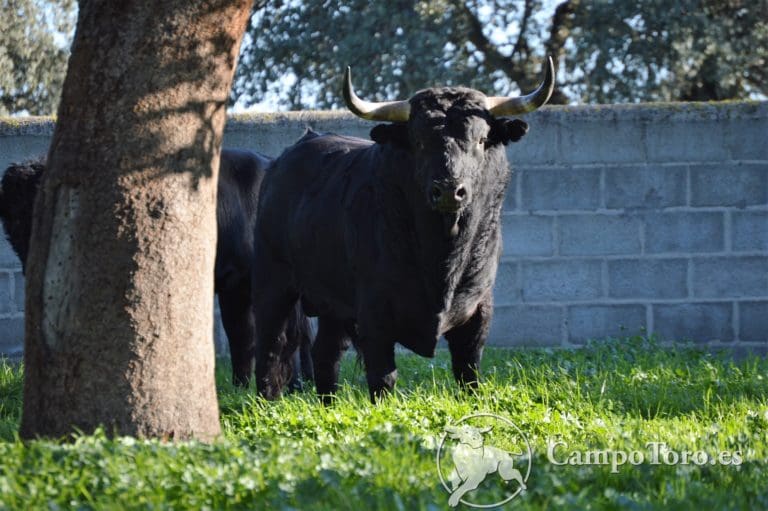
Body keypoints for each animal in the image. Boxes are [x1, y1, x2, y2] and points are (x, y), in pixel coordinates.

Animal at [251, 57, 554, 402]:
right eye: (419, 142)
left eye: (480, 140)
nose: (448, 190)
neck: (442, 259)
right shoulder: (374, 314)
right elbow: (383, 378)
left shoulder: (479, 311)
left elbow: (468, 372)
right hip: (273, 281)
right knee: (270, 346)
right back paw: (266, 401)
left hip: (333, 304)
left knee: (326, 354)